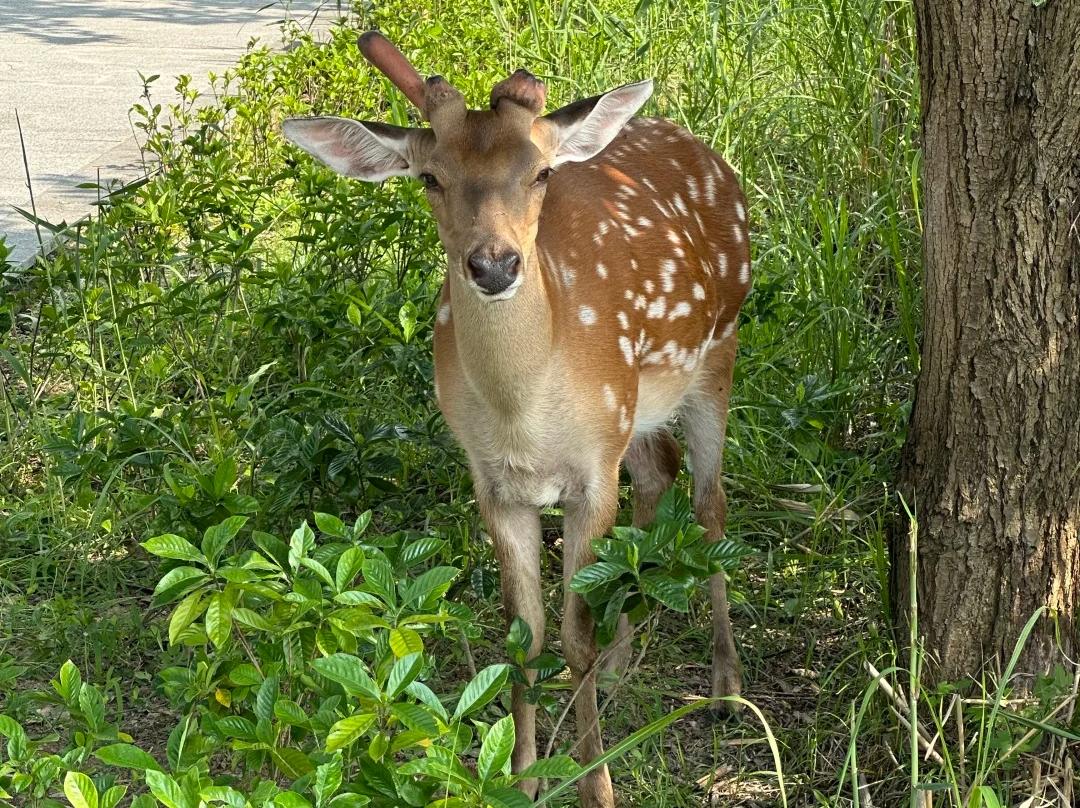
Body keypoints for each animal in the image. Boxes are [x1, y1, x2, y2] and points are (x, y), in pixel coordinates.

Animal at [282, 31, 751, 808]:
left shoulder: (592, 469)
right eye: (430, 177)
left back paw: (723, 688)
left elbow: (573, 637)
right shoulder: (494, 481)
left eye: (539, 174)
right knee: (660, 474)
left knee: (711, 505)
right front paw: (522, 778)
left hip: (719, 347)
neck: (522, 415)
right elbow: (522, 638)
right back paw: (624, 665)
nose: (495, 264)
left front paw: (596, 784)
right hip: (637, 407)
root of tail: (701, 148)